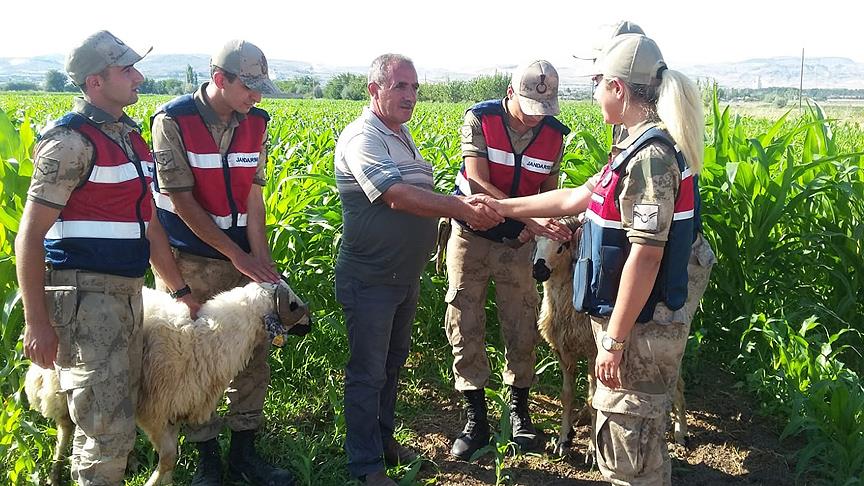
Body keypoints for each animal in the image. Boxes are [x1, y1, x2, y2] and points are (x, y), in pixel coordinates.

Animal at [24, 280, 310, 484]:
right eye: (293, 305)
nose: (312, 324)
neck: (210, 338)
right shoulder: (156, 411)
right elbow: (170, 457)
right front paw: (154, 482)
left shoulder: (179, 407)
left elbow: (170, 459)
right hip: (61, 382)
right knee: (66, 426)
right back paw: (55, 473)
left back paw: (129, 461)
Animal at [532, 218, 688, 458]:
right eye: (536, 242)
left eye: (562, 246)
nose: (538, 270)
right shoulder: (562, 350)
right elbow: (567, 395)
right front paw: (563, 440)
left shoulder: (593, 352)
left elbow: (592, 398)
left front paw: (592, 450)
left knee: (678, 383)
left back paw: (681, 433)